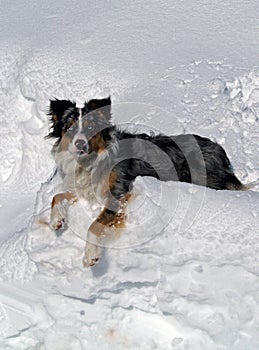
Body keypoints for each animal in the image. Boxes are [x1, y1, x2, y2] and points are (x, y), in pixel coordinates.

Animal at [46, 95, 258, 266]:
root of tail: (219, 150)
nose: (80, 144)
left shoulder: (119, 192)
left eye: (91, 127)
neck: (89, 163)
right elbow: (57, 196)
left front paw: (91, 255)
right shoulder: (84, 190)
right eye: (69, 128)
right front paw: (56, 220)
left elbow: (94, 225)